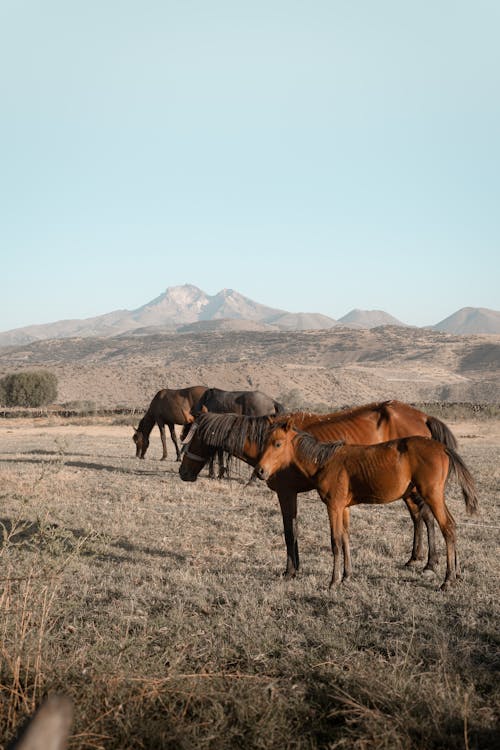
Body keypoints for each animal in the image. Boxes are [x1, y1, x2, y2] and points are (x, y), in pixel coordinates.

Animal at [178, 402, 458, 580]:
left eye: (193, 437)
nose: (183, 472)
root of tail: (423, 417)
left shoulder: (286, 493)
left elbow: (290, 530)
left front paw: (290, 571)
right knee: (419, 517)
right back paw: (416, 559)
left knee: (427, 517)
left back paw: (430, 564)